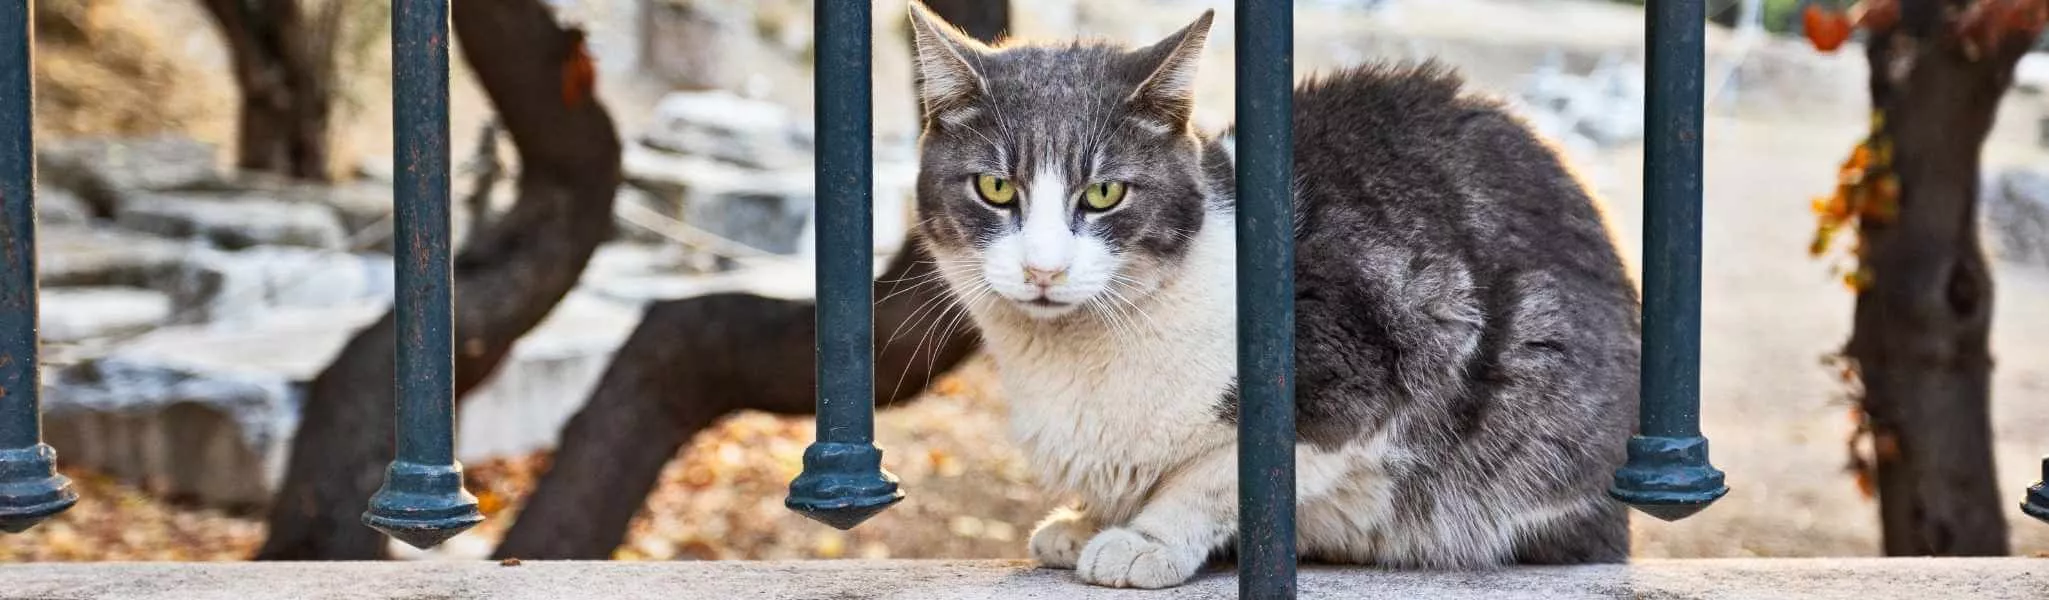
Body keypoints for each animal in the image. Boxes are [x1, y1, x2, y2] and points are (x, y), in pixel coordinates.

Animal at [905, 1, 1639, 589]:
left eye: (1104, 193)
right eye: (995, 188)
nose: (1043, 270)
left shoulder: (1377, 362)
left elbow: (1220, 475)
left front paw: (1146, 538)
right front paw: (1089, 521)